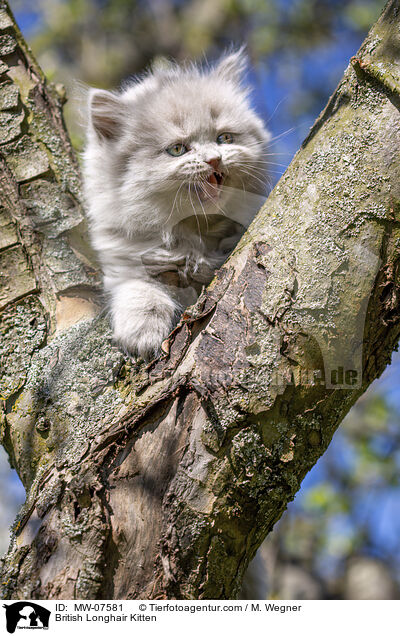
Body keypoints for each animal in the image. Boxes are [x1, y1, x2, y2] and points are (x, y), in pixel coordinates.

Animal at [84, 49, 272, 358]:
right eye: (177, 149)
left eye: (224, 138)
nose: (214, 160)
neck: (195, 234)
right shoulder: (127, 262)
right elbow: (139, 292)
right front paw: (143, 334)